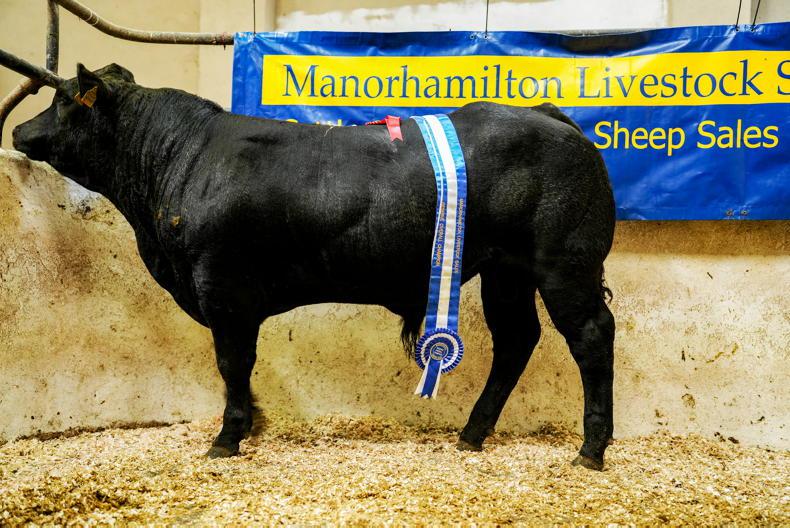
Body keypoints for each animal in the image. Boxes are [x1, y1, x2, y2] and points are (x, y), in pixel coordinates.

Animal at [9, 61, 616, 470]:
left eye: (64, 99)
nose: (17, 130)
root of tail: (549, 117)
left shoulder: (223, 287)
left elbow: (232, 364)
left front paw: (228, 438)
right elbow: (239, 370)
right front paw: (252, 423)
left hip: (565, 265)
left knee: (591, 336)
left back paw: (591, 448)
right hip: (506, 272)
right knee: (517, 340)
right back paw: (472, 432)